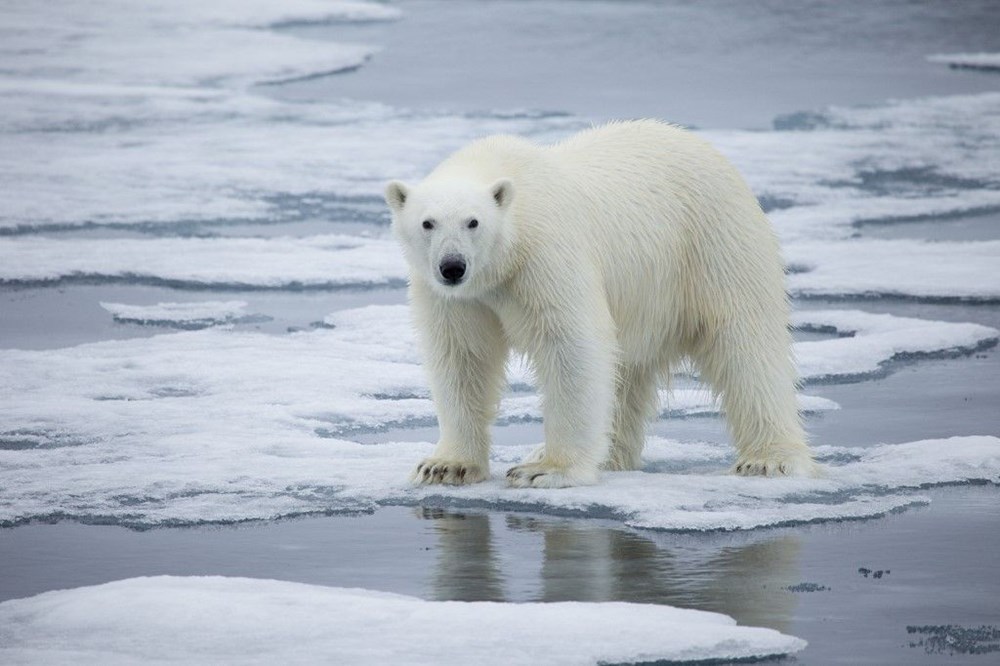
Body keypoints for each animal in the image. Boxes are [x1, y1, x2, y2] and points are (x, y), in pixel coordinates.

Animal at [386, 119, 816, 486]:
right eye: (427, 223)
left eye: (473, 222)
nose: (452, 266)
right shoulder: (455, 297)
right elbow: (461, 356)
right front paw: (446, 466)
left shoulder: (546, 256)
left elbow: (571, 346)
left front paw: (546, 469)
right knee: (626, 373)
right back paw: (609, 455)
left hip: (713, 245)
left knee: (745, 345)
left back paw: (768, 459)